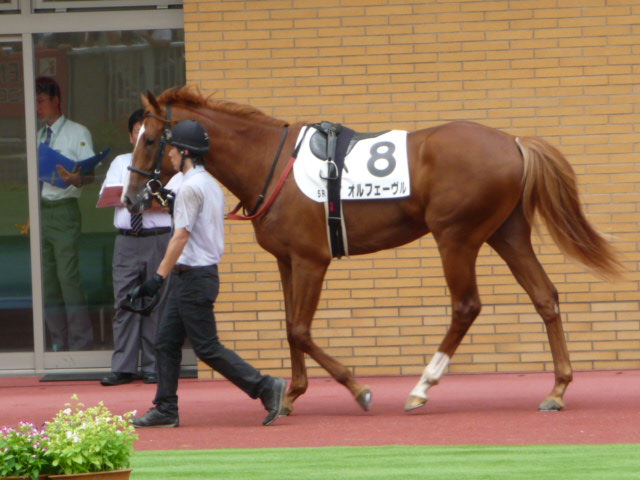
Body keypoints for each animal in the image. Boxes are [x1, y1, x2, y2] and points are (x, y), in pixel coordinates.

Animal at [124, 85, 620, 415]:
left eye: (148, 139)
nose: (130, 199)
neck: (270, 160)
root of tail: (514, 142)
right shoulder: (287, 261)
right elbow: (289, 326)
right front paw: (293, 392)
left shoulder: (312, 260)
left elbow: (300, 329)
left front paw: (354, 386)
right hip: (507, 233)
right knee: (544, 296)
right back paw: (557, 389)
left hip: (455, 237)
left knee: (466, 305)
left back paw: (423, 386)